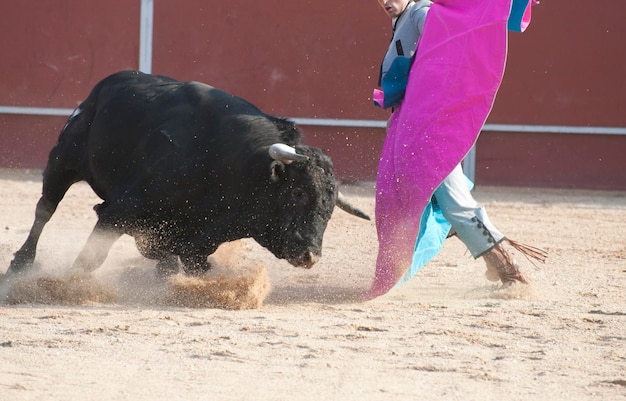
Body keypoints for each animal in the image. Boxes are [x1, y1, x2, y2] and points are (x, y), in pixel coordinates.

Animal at [9, 70, 368, 276]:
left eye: (330, 206)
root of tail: (106, 85)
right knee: (45, 210)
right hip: (62, 161)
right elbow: (90, 258)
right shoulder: (121, 210)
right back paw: (20, 264)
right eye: (298, 192)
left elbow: (190, 262)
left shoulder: (197, 242)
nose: (310, 256)